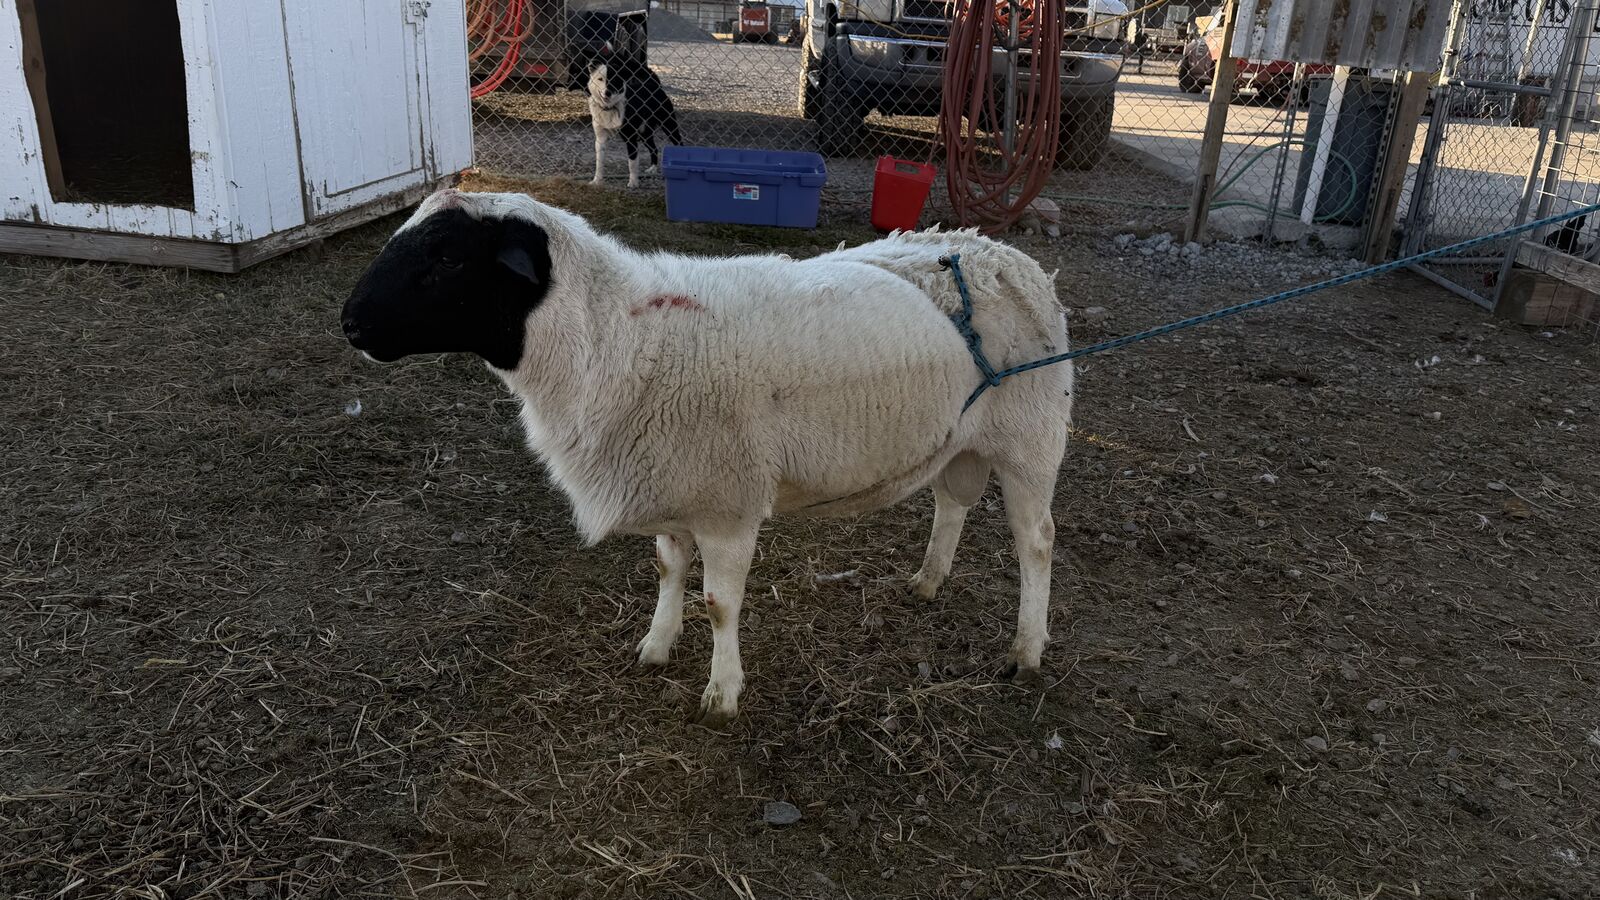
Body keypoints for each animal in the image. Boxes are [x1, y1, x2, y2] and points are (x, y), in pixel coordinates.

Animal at [341, 188, 1073, 727]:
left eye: (446, 260)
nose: (349, 324)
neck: (617, 339)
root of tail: (1011, 257)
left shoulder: (728, 502)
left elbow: (720, 604)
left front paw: (721, 696)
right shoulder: (673, 481)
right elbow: (668, 571)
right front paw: (655, 646)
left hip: (1033, 437)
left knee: (1036, 542)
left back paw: (1026, 650)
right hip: (963, 439)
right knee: (951, 503)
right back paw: (927, 580)